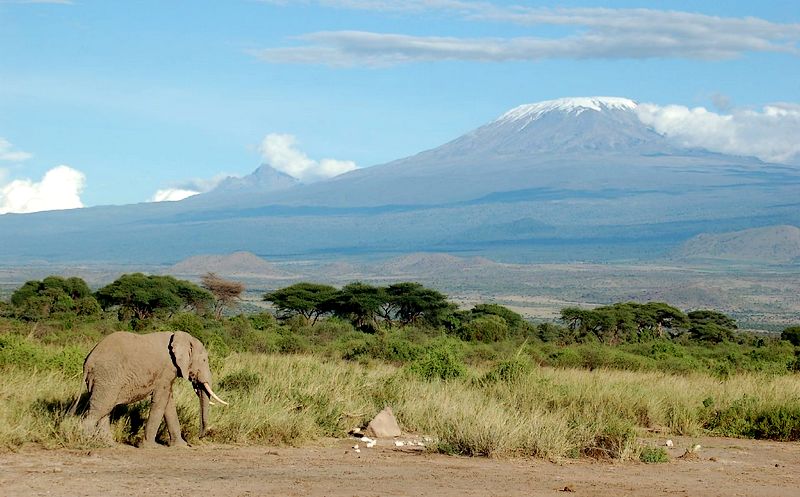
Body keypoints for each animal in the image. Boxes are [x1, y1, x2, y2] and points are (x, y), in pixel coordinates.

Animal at [82, 330, 228, 446]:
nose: (199, 437)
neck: (181, 337)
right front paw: (150, 446)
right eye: (204, 360)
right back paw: (86, 439)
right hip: (108, 376)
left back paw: (109, 444)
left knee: (105, 409)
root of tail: (88, 361)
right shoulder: (166, 370)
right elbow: (161, 401)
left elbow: (169, 403)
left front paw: (181, 446)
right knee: (101, 408)